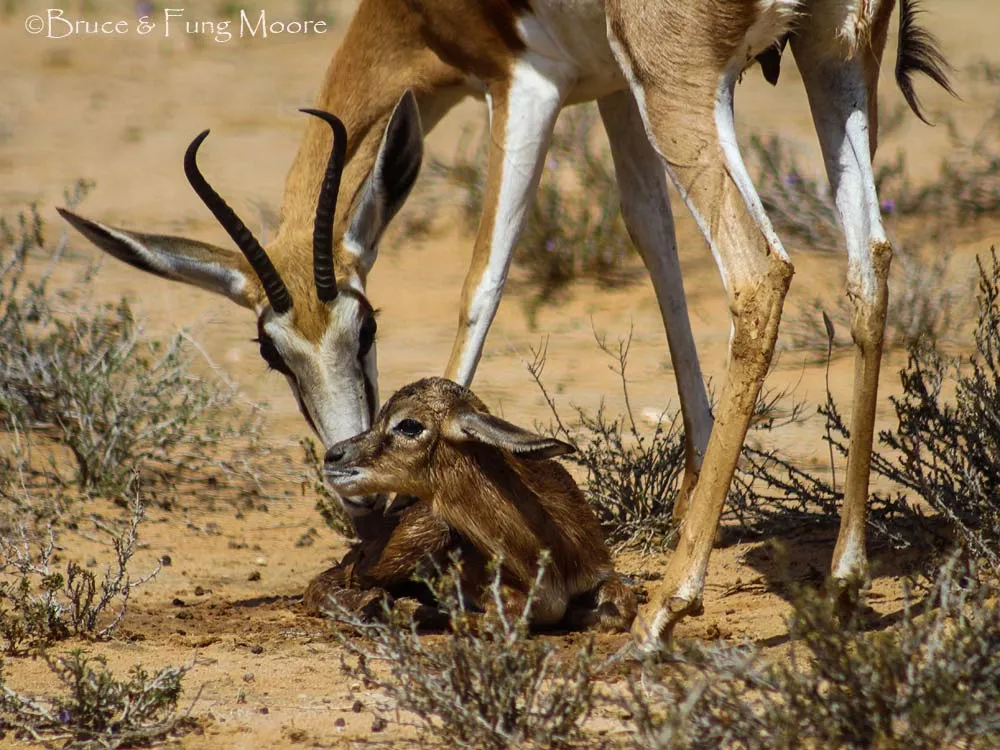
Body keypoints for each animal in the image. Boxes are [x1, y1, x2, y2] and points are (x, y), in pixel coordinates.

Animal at [304, 378, 636, 632]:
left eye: (409, 425)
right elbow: (503, 619)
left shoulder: (599, 573)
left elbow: (620, 609)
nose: (333, 456)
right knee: (329, 579)